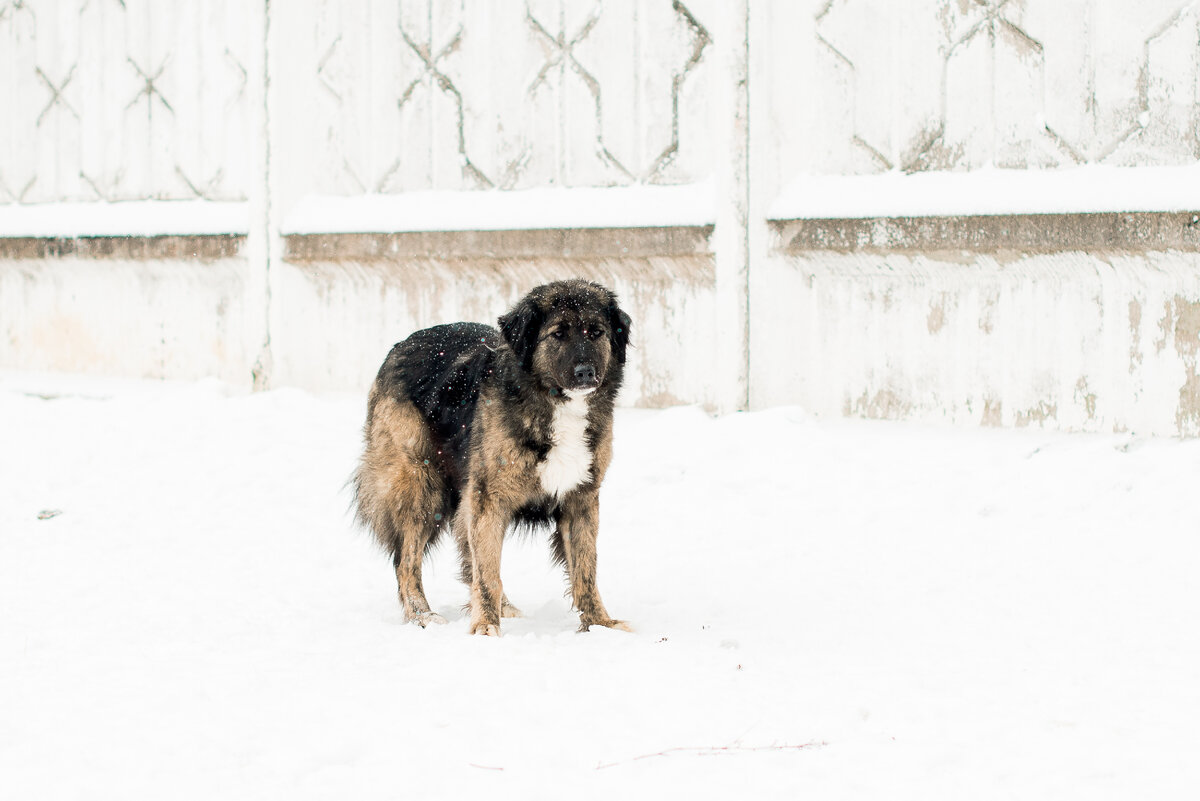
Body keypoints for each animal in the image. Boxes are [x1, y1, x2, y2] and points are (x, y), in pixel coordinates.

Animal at [352, 278, 633, 633]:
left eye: (596, 332)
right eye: (558, 334)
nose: (585, 372)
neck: (552, 403)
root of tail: (401, 344)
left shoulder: (580, 498)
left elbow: (586, 571)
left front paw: (599, 624)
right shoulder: (490, 498)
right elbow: (488, 572)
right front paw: (485, 627)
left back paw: (503, 608)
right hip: (421, 487)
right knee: (407, 561)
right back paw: (423, 615)